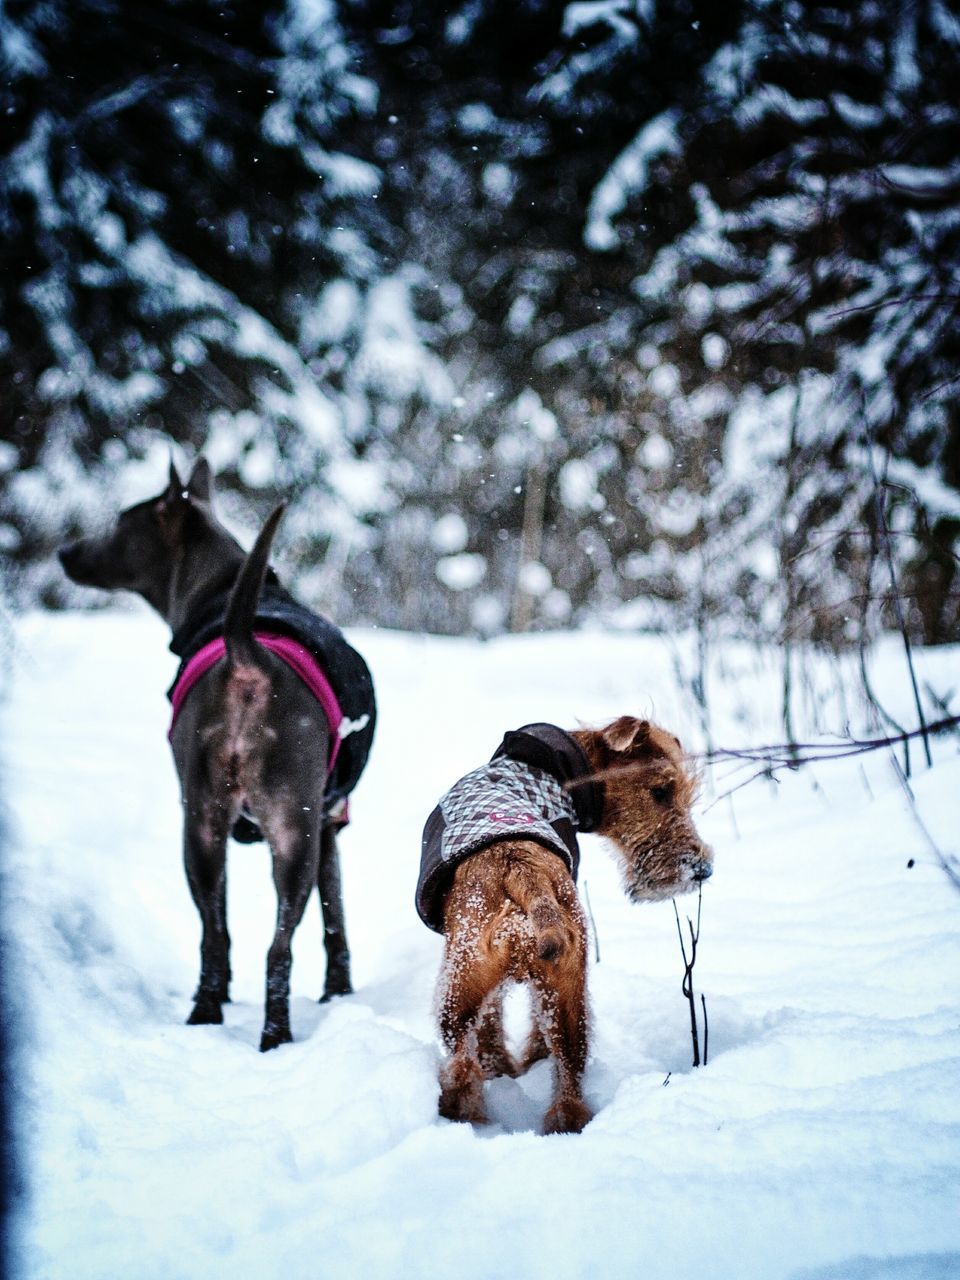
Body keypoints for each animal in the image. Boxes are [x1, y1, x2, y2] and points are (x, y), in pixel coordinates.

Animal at [58, 460, 376, 1049]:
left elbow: (294, 922)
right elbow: (335, 920)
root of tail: (246, 659)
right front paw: (338, 995)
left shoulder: (308, 826)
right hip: (289, 830)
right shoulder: (328, 826)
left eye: (118, 522)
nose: (65, 551)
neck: (219, 591)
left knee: (217, 933)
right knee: (277, 946)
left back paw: (209, 1012)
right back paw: (274, 1035)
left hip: (205, 824)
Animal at [414, 716, 716, 1136]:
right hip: (565, 987)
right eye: (661, 791)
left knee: (462, 1068)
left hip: (458, 988)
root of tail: (522, 870)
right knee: (567, 1078)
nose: (701, 869)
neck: (562, 771)